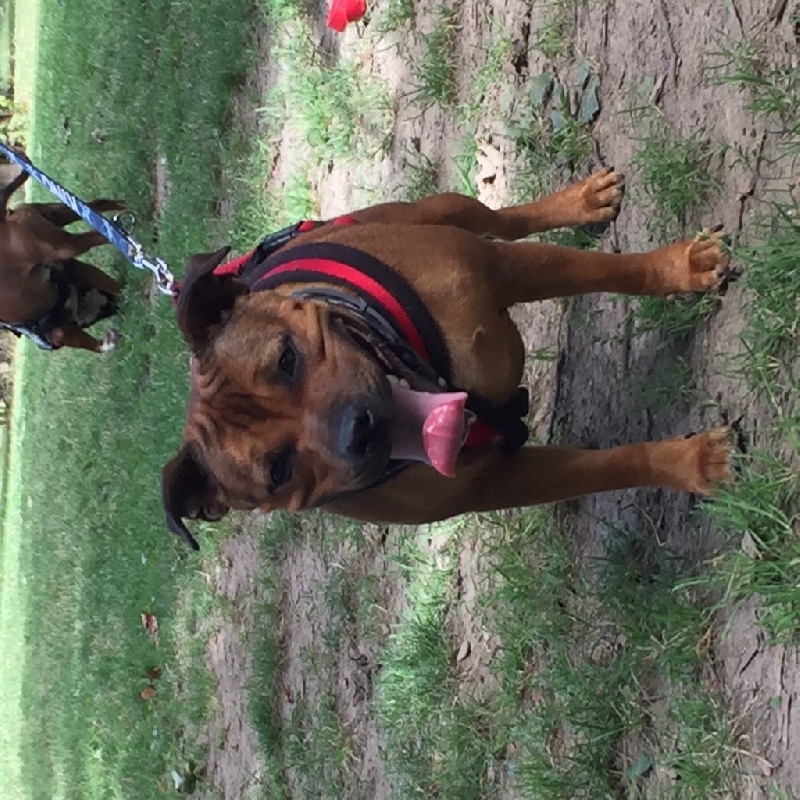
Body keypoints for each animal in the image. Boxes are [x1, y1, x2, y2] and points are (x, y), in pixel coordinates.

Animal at [0, 170, 123, 352]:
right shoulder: (75, 269)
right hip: (57, 214)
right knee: (98, 206)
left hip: (65, 244)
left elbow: (94, 346)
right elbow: (113, 286)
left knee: (96, 235)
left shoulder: (59, 333)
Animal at [162, 169, 735, 549]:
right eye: (277, 471)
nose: (357, 430)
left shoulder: (504, 267)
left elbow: (615, 272)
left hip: (433, 211)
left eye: (287, 359)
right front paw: (691, 462)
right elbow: (608, 467)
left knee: (500, 218)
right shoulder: (499, 480)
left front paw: (681, 267)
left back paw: (581, 200)